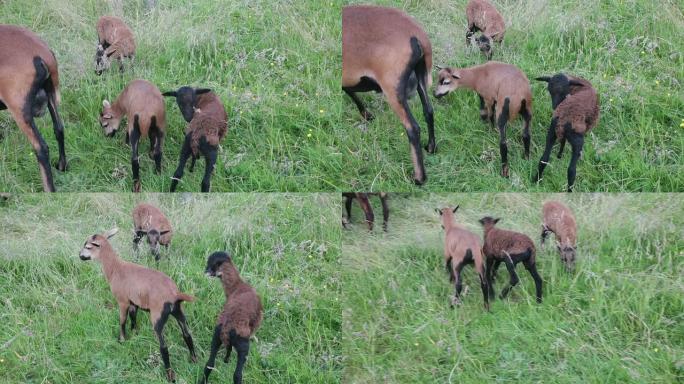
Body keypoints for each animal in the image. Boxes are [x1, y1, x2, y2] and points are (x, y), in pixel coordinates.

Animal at [0, 24, 67, 192]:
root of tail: (41, 54)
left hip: (19, 108)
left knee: (41, 147)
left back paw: (49, 190)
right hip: (50, 95)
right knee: (59, 128)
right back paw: (61, 166)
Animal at [81, 228, 198, 380]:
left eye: (88, 246)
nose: (80, 256)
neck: (115, 268)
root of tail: (174, 294)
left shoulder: (123, 301)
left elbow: (122, 320)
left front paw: (122, 340)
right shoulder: (134, 302)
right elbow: (133, 317)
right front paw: (135, 333)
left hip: (157, 317)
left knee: (164, 347)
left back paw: (169, 376)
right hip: (179, 311)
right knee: (187, 335)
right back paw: (194, 360)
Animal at [199, 252, 264, 384]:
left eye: (210, 264)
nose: (205, 271)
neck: (237, 286)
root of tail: (226, 328)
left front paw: (226, 361)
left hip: (216, 338)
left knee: (209, 365)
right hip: (242, 344)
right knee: (237, 374)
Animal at [344, 4, 436, 186]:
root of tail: (416, 35)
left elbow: (348, 89)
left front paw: (365, 114)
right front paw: (367, 115)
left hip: (393, 87)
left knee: (412, 128)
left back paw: (419, 178)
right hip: (420, 74)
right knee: (428, 111)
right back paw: (431, 147)